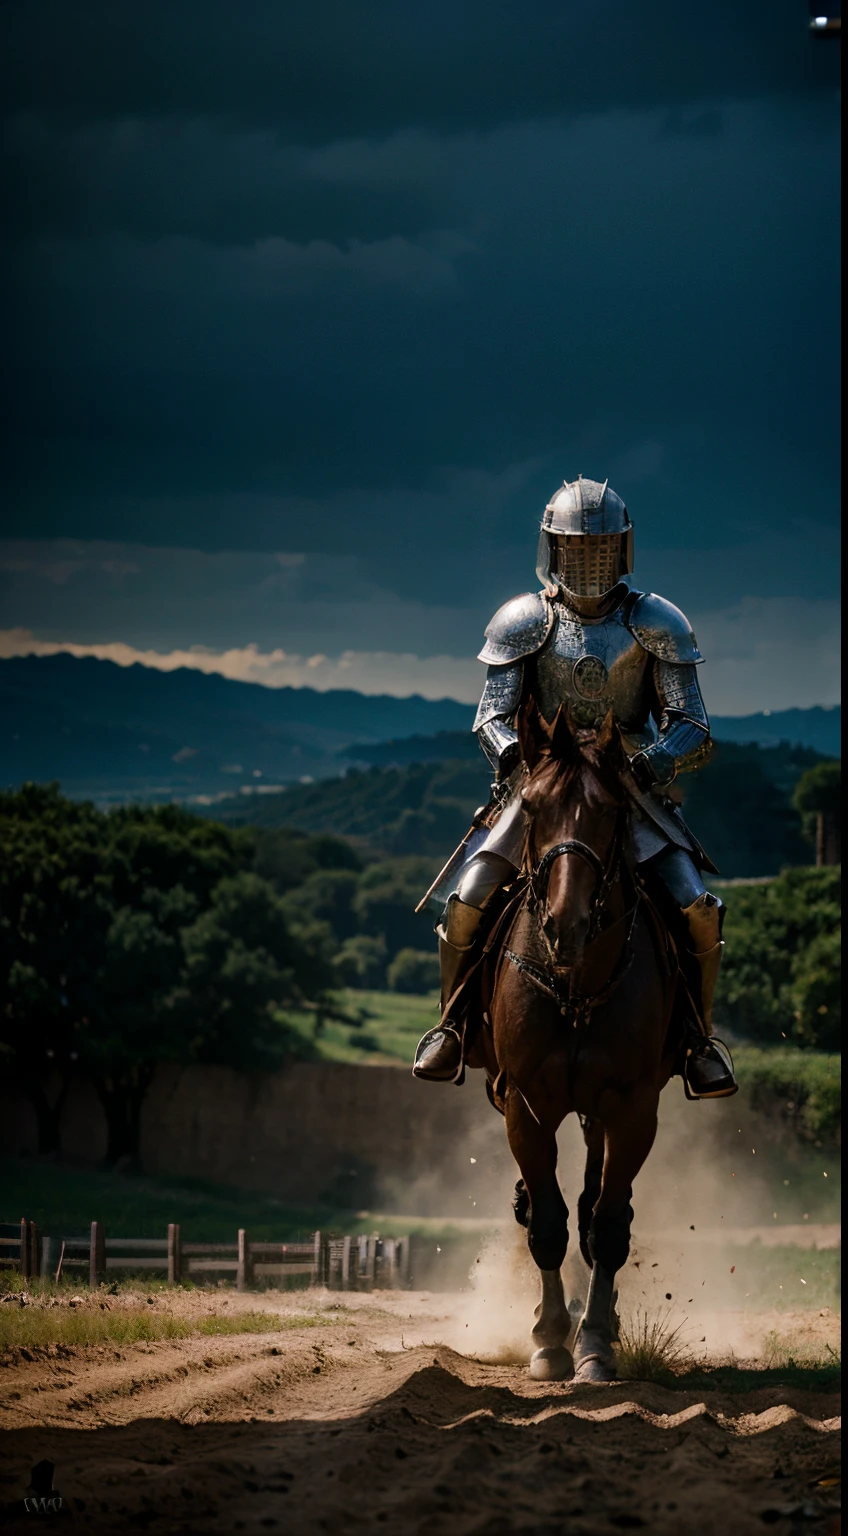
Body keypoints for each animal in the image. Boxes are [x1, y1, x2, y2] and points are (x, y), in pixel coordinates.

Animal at [473, 703, 679, 1388]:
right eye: (532, 808)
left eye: (613, 812)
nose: (567, 926)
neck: (575, 986)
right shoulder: (526, 1106)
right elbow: (545, 1224)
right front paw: (549, 1342)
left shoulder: (632, 1108)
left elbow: (607, 1226)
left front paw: (593, 1345)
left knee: (597, 1210)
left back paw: (602, 1321)